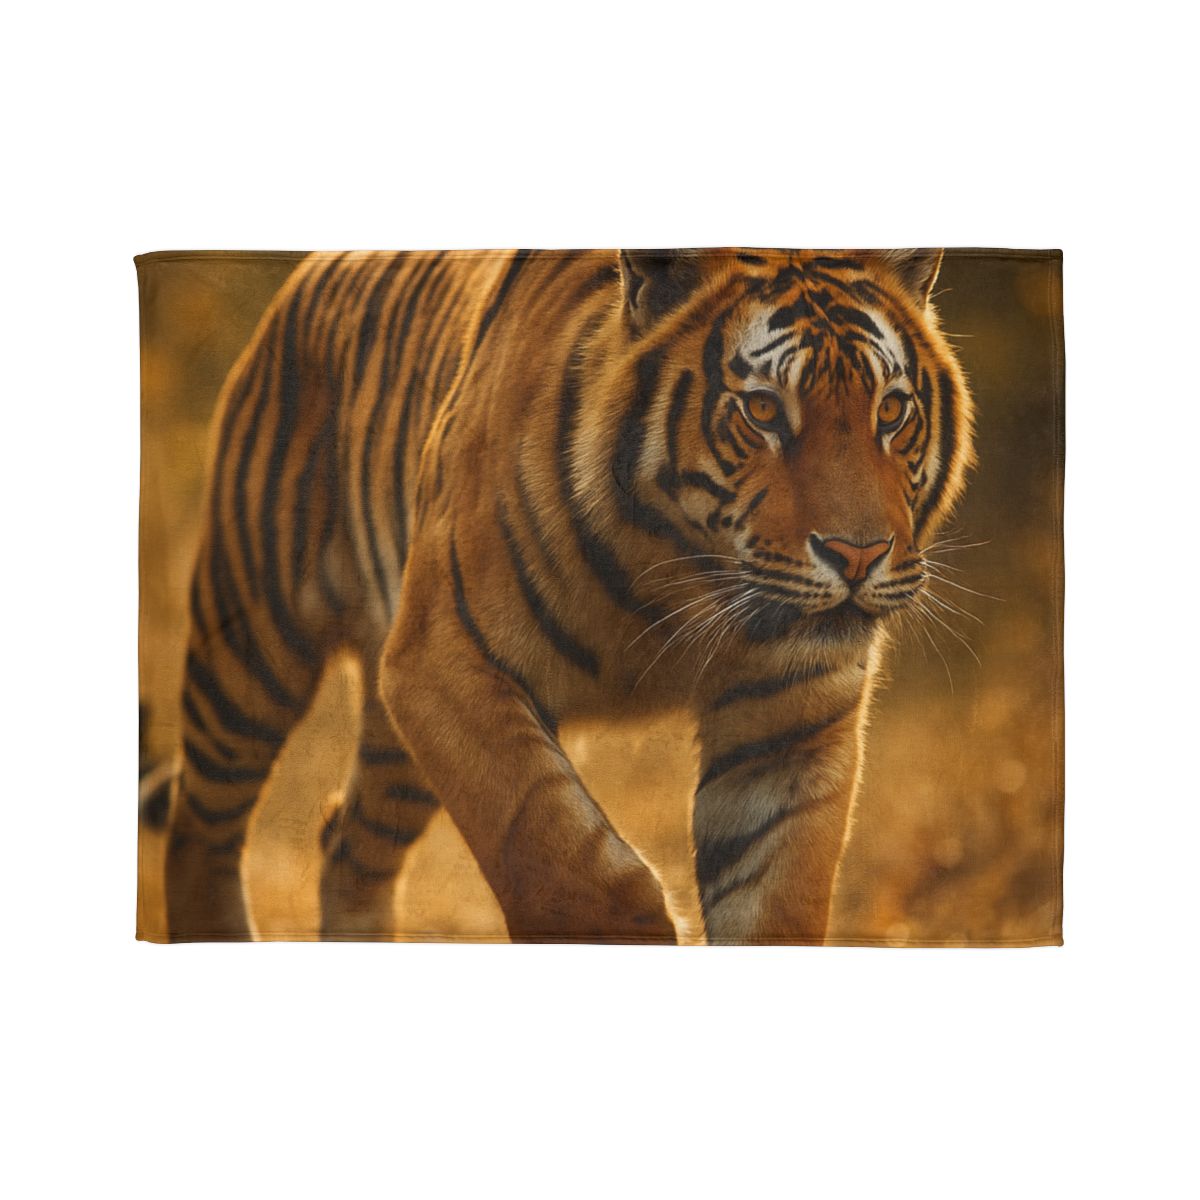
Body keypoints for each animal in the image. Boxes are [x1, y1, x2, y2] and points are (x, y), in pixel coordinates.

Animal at [150, 247, 973, 943]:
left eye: (890, 411)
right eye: (764, 410)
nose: (858, 555)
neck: (679, 575)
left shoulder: (791, 717)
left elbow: (778, 904)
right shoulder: (443, 665)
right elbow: (561, 858)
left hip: (392, 742)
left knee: (348, 844)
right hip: (255, 642)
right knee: (202, 825)